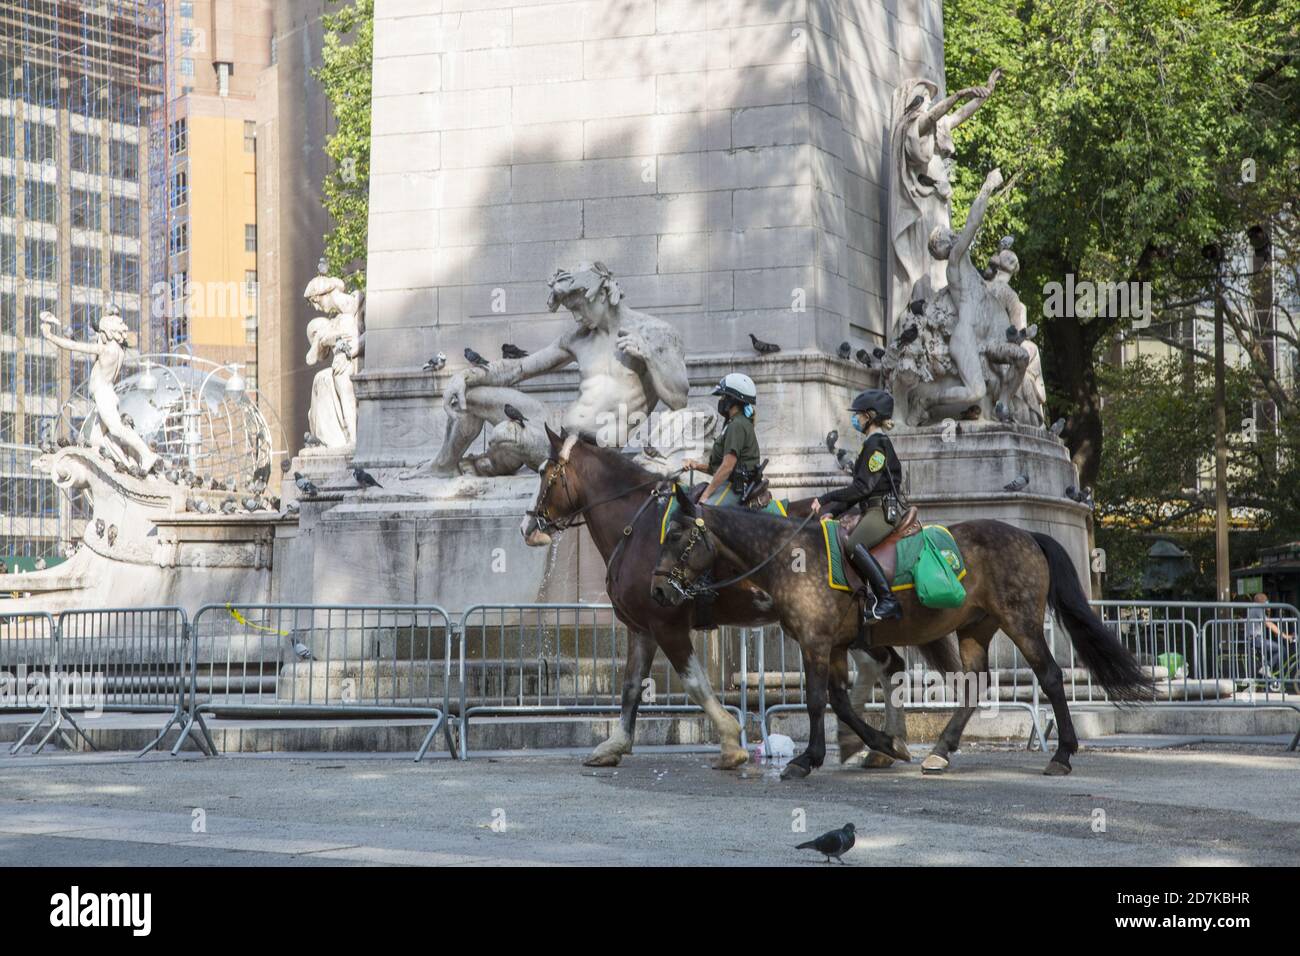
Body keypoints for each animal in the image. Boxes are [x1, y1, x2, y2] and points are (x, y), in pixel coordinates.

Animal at [517, 426, 956, 770]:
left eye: (544, 473)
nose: (527, 527)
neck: (637, 528)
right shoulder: (641, 627)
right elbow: (630, 686)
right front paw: (615, 744)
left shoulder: (666, 623)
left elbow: (694, 683)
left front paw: (731, 742)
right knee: (886, 665)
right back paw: (882, 743)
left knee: (880, 666)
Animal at [650, 486, 1149, 780]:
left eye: (675, 535)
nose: (656, 589)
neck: (789, 556)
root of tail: (1027, 534)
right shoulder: (832, 646)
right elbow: (839, 702)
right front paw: (883, 744)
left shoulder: (816, 643)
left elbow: (817, 701)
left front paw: (807, 759)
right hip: (976, 627)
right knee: (974, 685)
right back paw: (940, 752)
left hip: (1021, 622)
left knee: (1049, 676)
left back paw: (1061, 754)